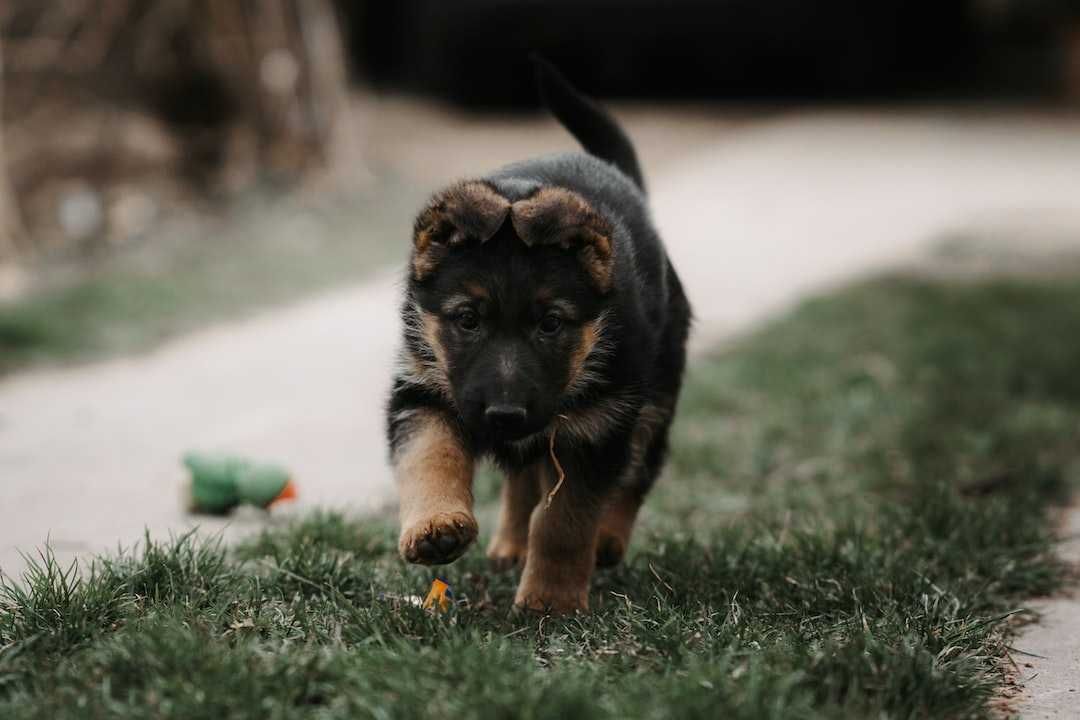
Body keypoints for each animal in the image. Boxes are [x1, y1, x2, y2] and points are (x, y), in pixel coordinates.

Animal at [388, 59, 691, 613]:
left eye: (550, 324)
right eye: (467, 320)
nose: (504, 415)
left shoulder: (597, 427)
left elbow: (564, 520)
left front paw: (551, 600)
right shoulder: (423, 391)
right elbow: (430, 457)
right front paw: (436, 526)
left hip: (654, 396)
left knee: (638, 468)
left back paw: (607, 538)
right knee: (524, 475)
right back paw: (511, 542)